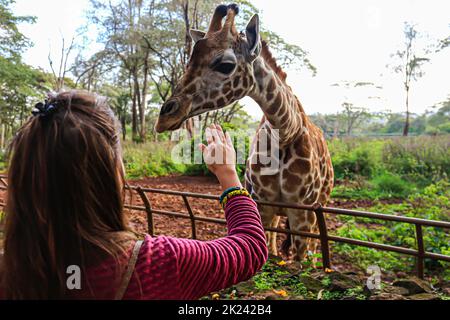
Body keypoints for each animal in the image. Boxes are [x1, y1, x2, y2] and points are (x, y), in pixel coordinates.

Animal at [156, 3, 334, 262]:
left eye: (225, 65)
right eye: (189, 61)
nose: (165, 117)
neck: (286, 132)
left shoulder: (304, 215)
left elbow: (301, 257)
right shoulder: (263, 205)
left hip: (317, 208)